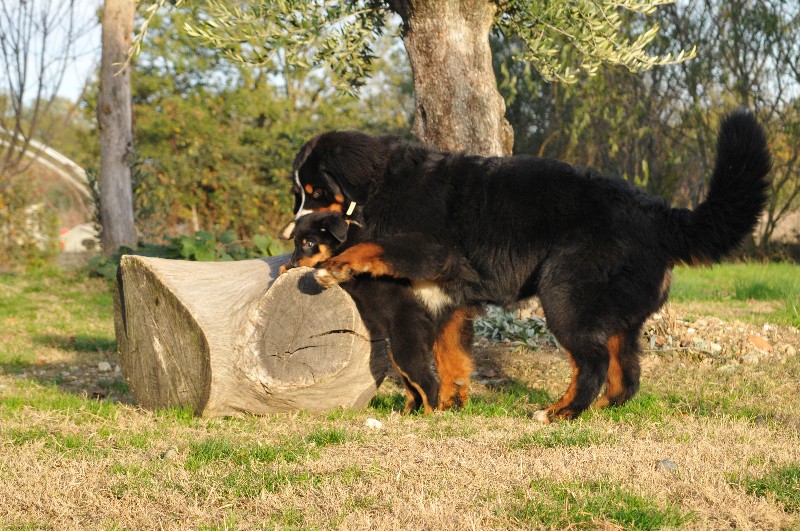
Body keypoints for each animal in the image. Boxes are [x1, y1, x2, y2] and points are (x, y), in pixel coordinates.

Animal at [284, 109, 772, 424]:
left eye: (316, 191)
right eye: (298, 195)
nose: (292, 228)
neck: (382, 186)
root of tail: (656, 212)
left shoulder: (430, 251)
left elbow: (374, 249)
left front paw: (336, 266)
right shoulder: (448, 302)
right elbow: (451, 357)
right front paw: (448, 405)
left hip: (564, 297)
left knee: (593, 364)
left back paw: (559, 412)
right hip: (616, 317)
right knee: (625, 375)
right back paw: (596, 411)